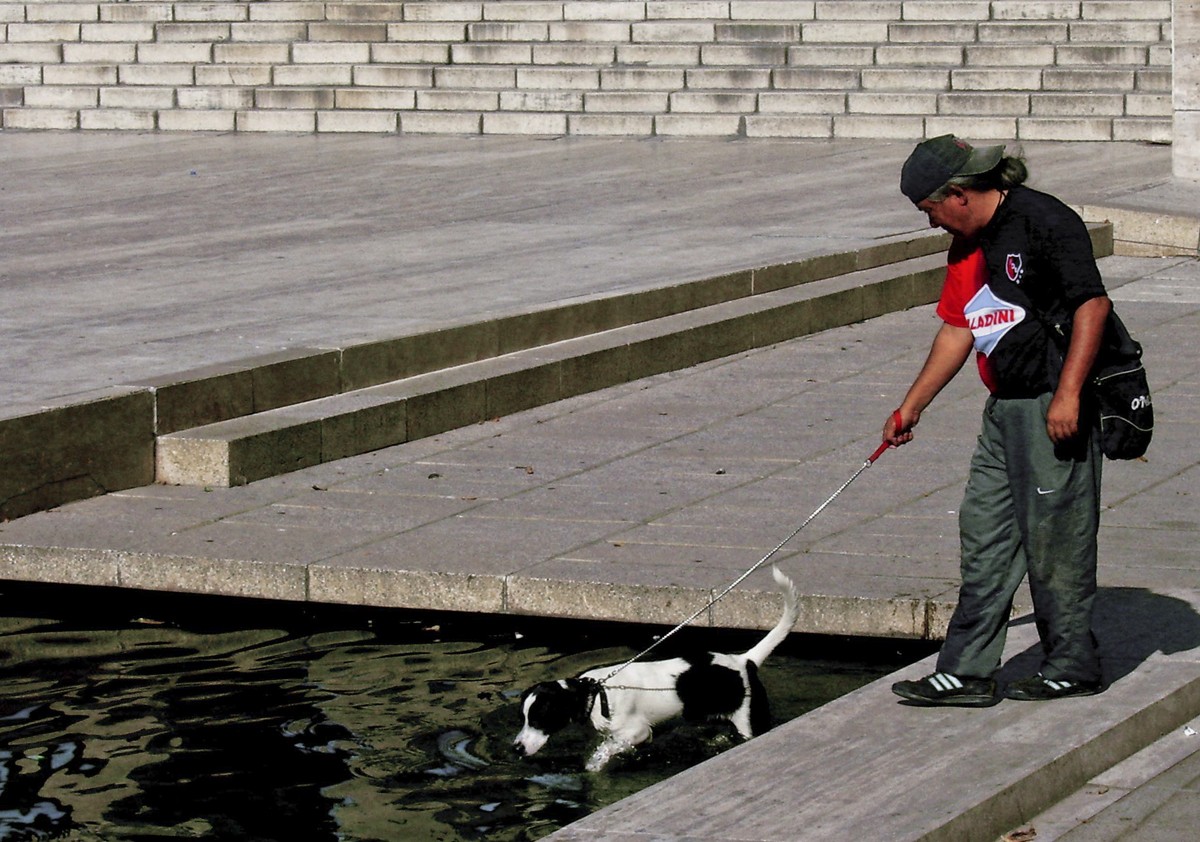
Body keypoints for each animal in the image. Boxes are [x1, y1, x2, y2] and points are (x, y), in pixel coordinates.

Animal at [508, 566, 796, 772]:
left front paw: (596, 763)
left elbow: (609, 748)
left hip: (749, 722)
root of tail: (744, 661)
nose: (516, 749)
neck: (597, 694)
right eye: (522, 718)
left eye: (539, 718)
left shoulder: (637, 732)